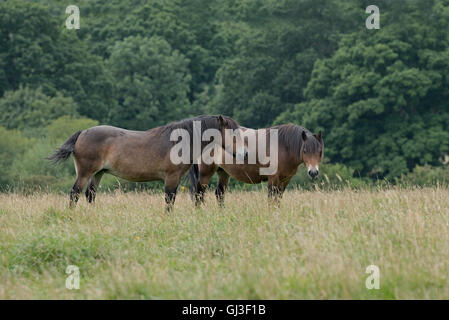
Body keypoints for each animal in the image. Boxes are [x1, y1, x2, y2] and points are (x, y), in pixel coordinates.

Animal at [48, 114, 242, 210]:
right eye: (233, 134)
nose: (243, 154)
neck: (179, 141)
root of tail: (82, 133)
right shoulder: (171, 178)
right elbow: (169, 200)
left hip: (98, 173)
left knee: (90, 195)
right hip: (85, 173)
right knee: (75, 193)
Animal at [188, 124, 322, 206]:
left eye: (320, 151)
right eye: (305, 150)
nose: (313, 172)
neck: (283, 146)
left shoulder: (285, 181)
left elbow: (278, 199)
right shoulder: (273, 179)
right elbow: (271, 199)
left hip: (224, 173)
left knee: (219, 194)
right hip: (205, 173)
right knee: (199, 195)